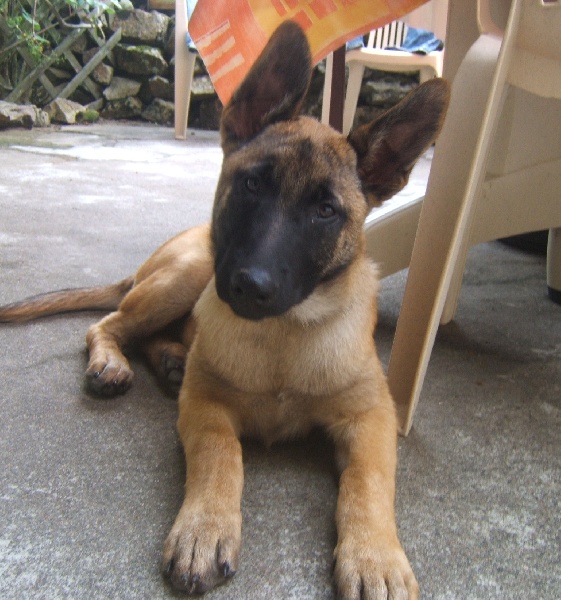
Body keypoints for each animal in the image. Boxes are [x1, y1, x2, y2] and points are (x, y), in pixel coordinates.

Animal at [0, 22, 446, 600]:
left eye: (326, 211)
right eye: (252, 183)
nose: (250, 286)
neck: (284, 335)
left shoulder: (371, 416)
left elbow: (366, 481)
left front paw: (375, 558)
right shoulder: (207, 406)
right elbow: (220, 456)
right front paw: (205, 528)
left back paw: (171, 360)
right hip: (189, 273)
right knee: (108, 324)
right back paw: (113, 362)